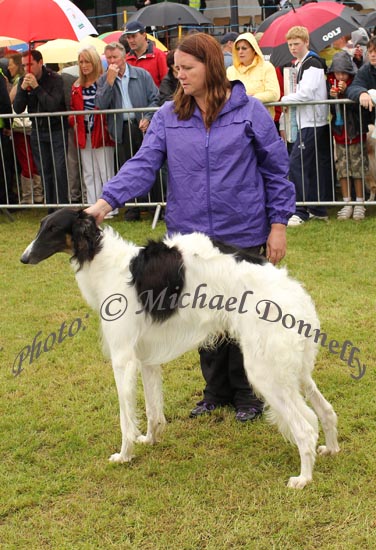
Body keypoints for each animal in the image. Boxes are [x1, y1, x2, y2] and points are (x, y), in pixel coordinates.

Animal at [20, 209, 340, 490]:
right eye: (41, 226)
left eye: (52, 229)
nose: (24, 258)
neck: (105, 262)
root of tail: (297, 294)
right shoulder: (146, 359)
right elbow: (153, 412)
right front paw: (150, 440)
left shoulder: (123, 358)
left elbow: (126, 419)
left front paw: (124, 455)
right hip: (292, 369)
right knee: (325, 411)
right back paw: (331, 449)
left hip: (264, 371)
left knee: (305, 427)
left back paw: (303, 478)